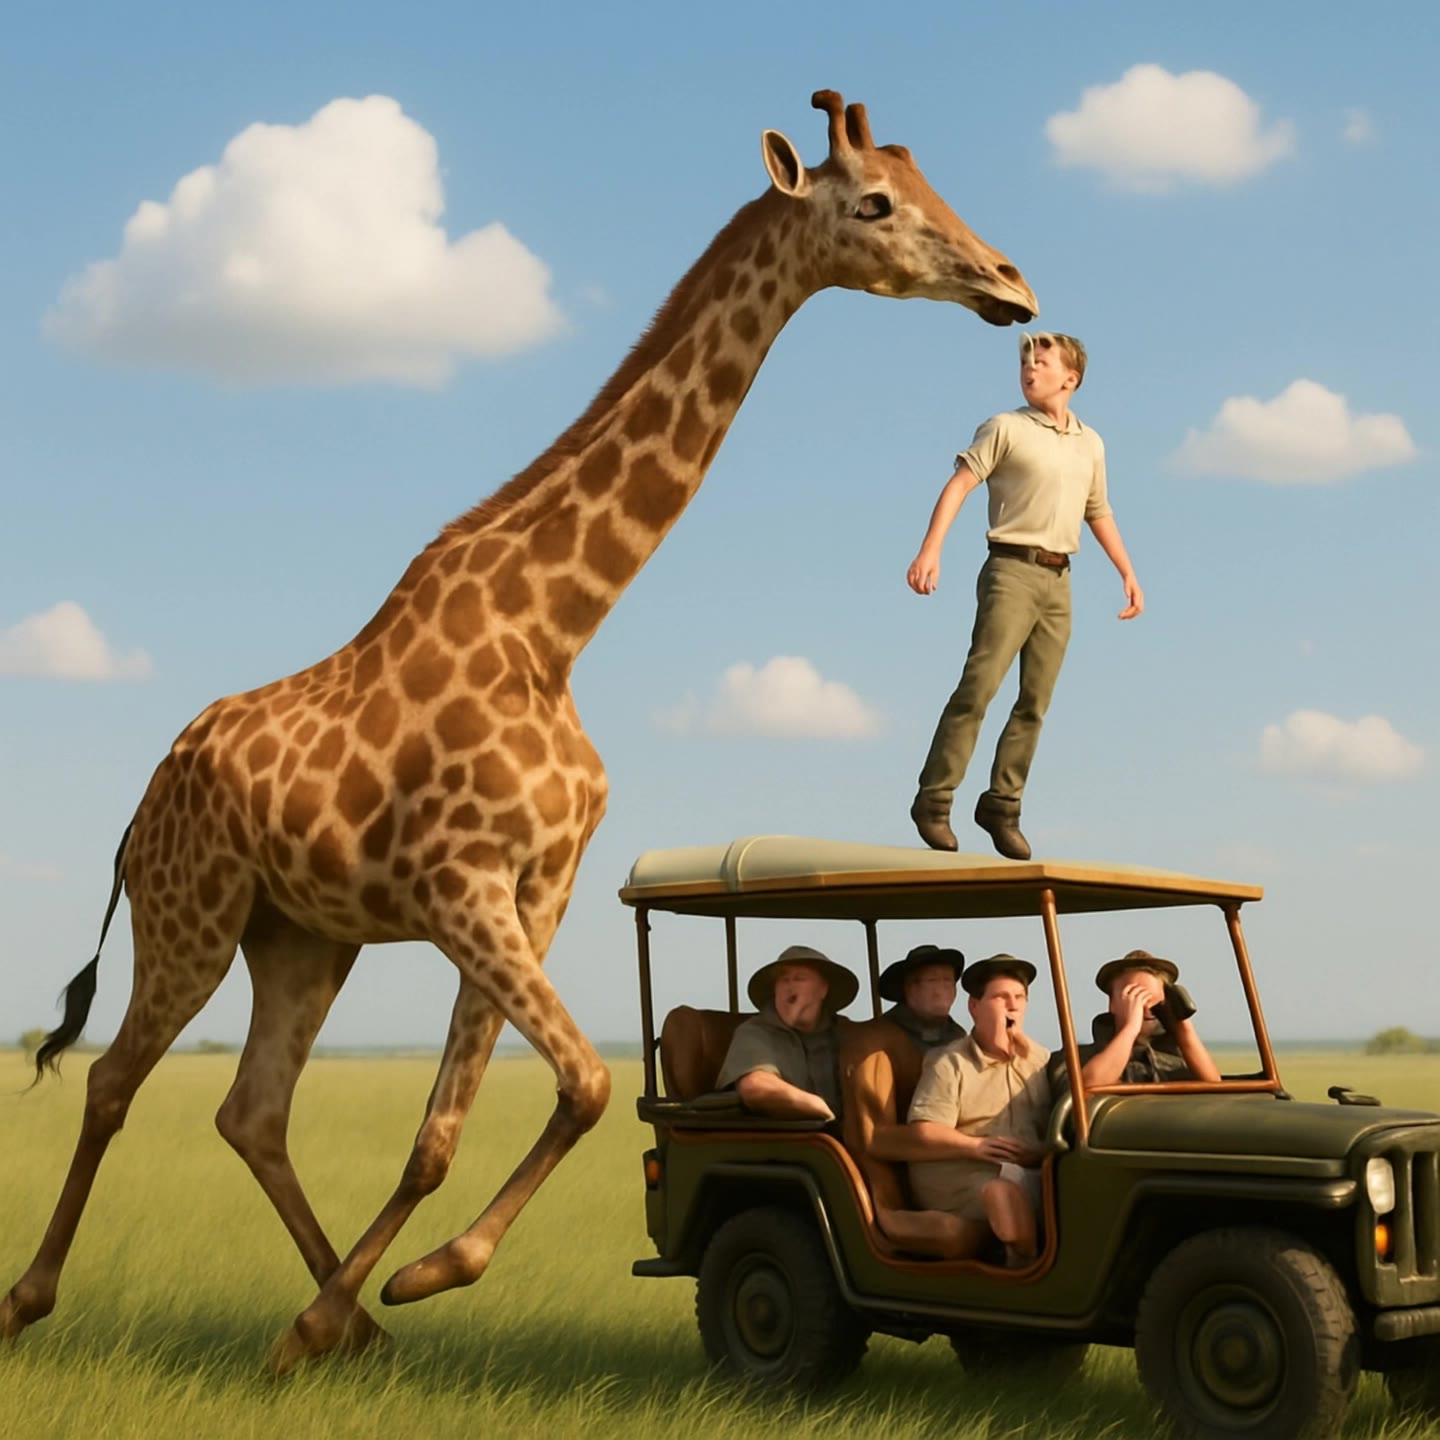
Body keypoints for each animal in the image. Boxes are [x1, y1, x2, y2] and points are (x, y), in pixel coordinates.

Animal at [2, 90, 1037, 1370]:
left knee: (252, 1110)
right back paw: (29, 1300)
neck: (554, 629)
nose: (1012, 285)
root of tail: (140, 807)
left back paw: (343, 1329)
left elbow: (467, 1126)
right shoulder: (463, 888)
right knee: (111, 1083)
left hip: (301, 937)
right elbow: (580, 1086)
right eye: (878, 203)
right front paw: (406, 1282)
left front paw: (375, 1298)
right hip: (191, 913)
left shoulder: (533, 892)